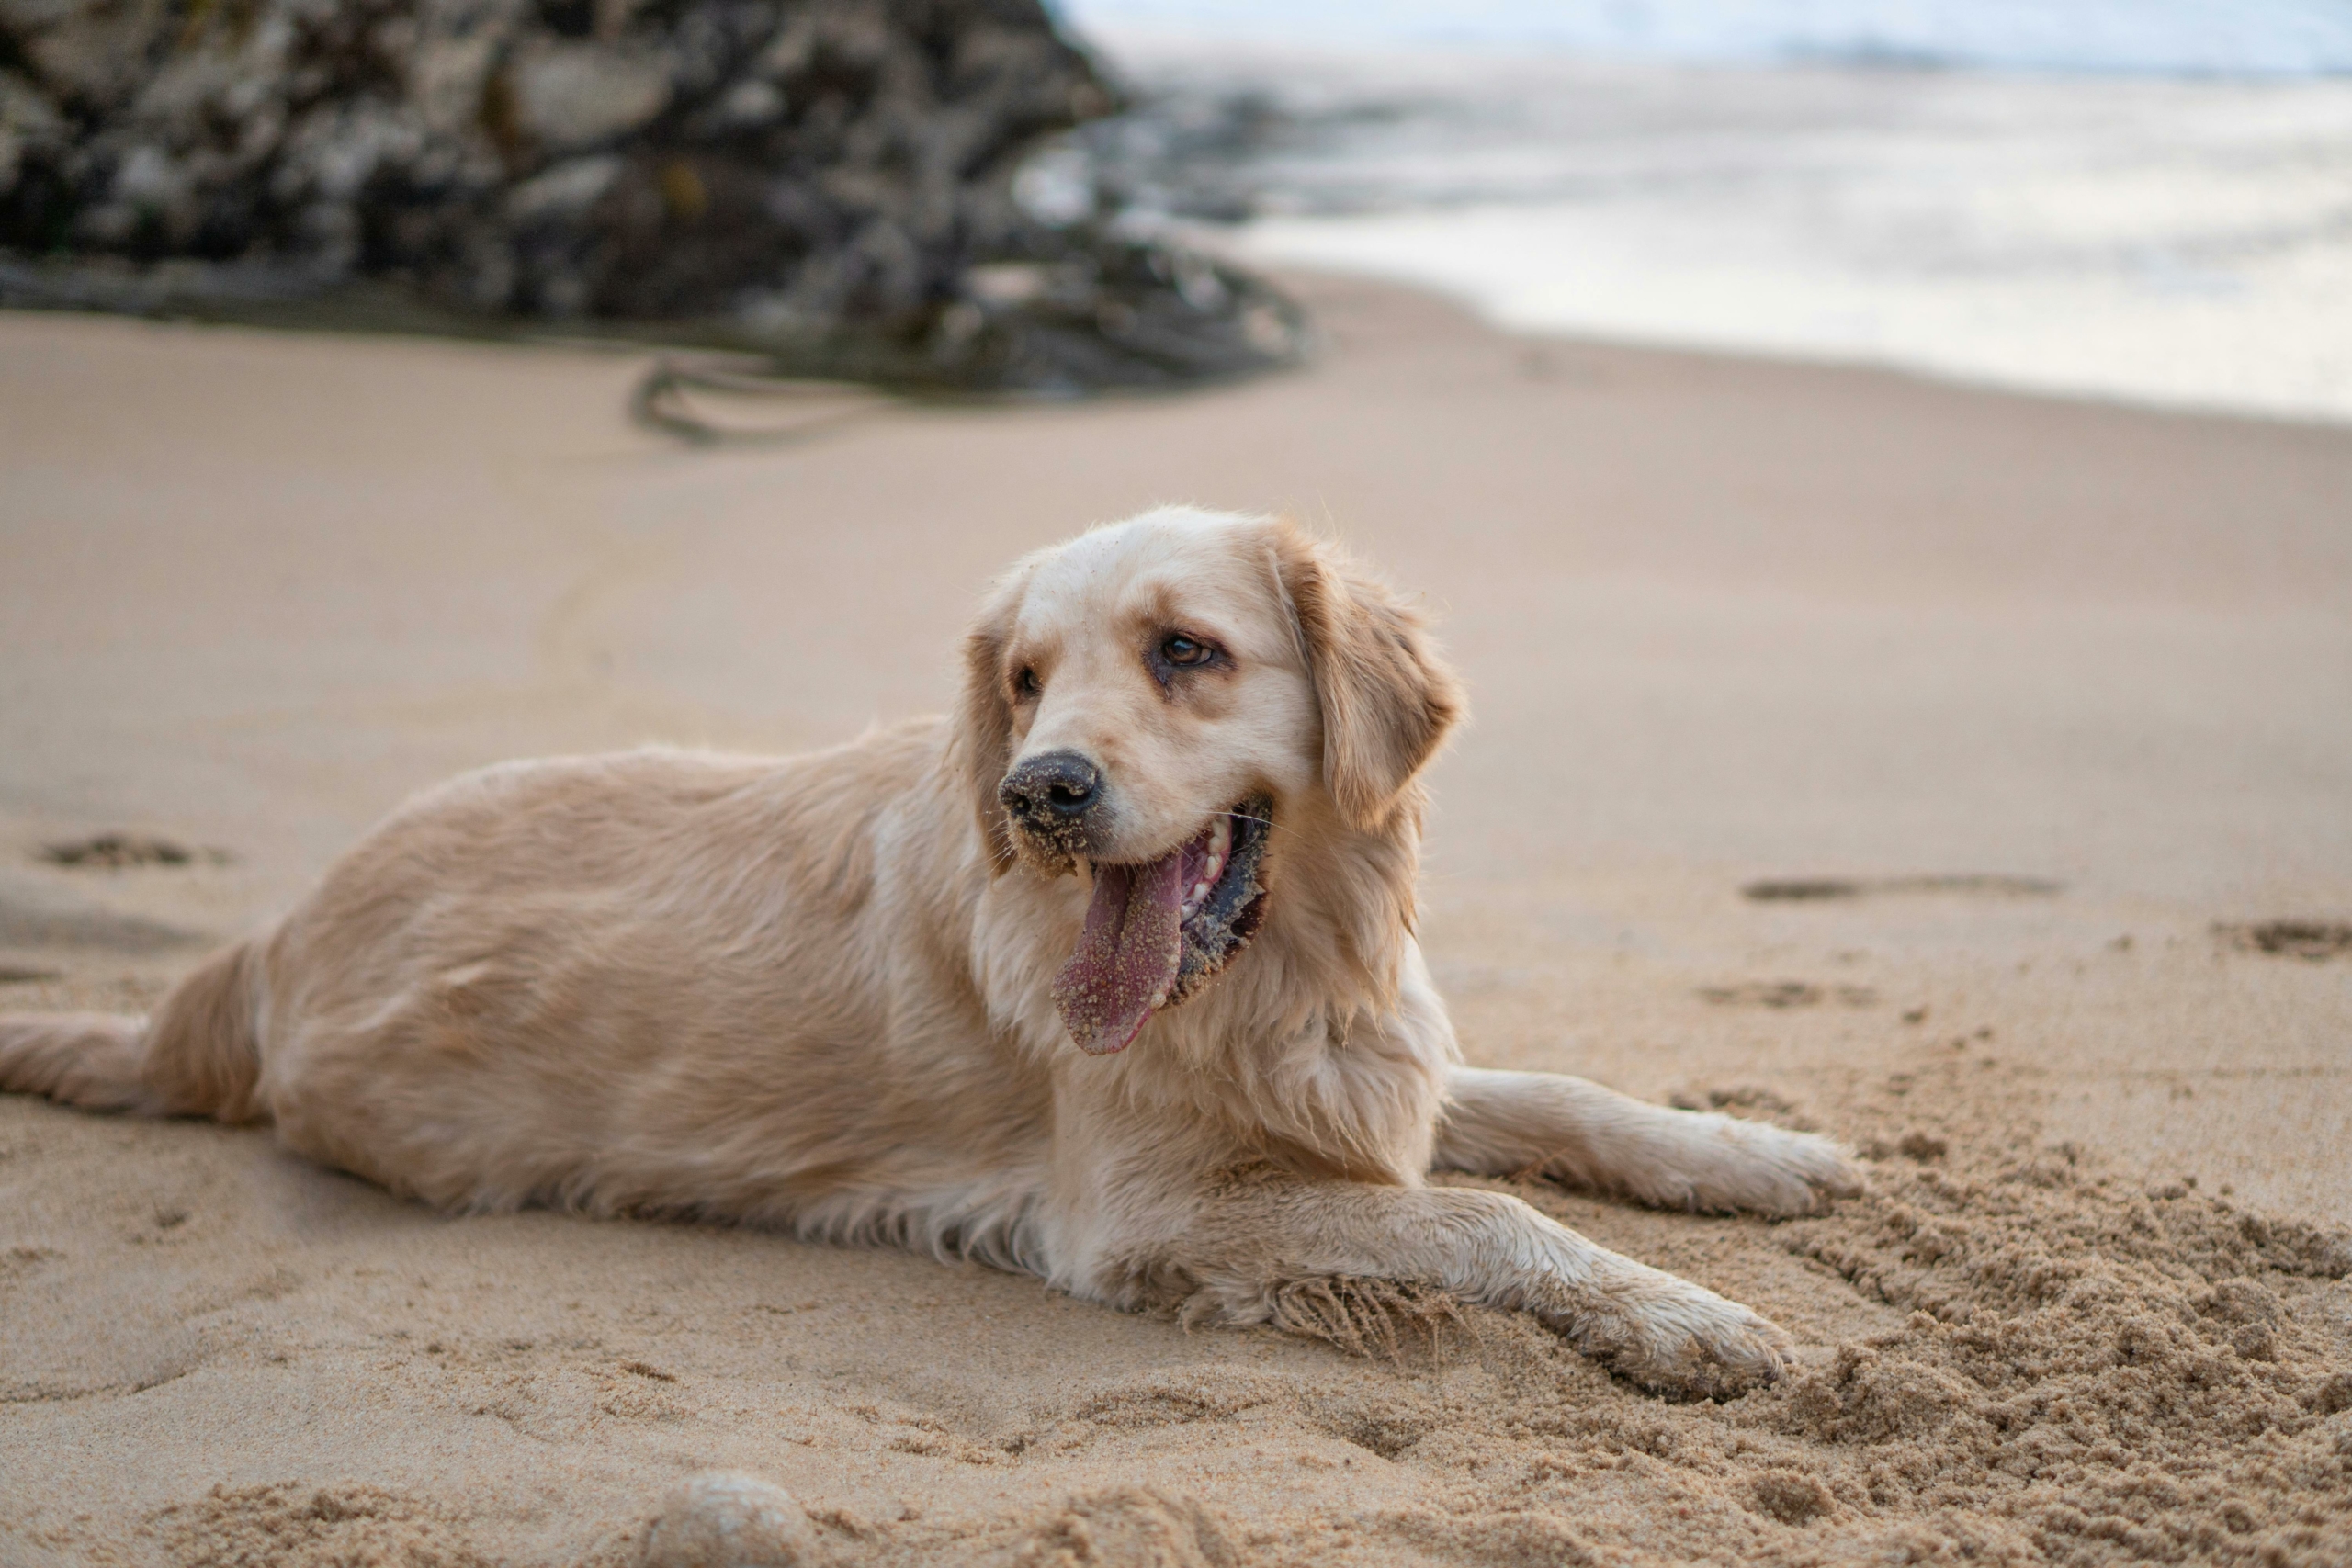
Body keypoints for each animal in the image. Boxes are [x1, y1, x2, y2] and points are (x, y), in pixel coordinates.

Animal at [0, 510, 1853, 1392]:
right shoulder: (1148, 1216)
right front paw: (1690, 1318)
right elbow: (1478, 1213)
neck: (1267, 972)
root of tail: (272, 927)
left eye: (1187, 650)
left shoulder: (1363, 1065)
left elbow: (1565, 1097)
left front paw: (1755, 1154)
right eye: (1025, 679)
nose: (1043, 789)